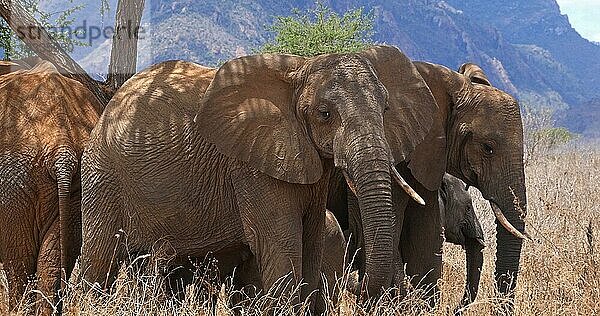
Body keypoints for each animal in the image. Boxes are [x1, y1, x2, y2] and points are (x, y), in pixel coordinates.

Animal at [78, 45, 436, 306]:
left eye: (386, 110)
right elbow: (282, 249)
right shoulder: (253, 166)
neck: (299, 72)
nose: (355, 283)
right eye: (324, 114)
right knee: (99, 261)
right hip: (102, 175)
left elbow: (311, 247)